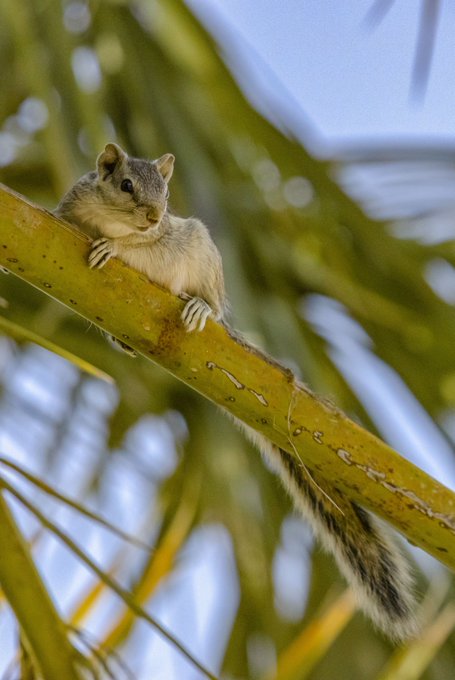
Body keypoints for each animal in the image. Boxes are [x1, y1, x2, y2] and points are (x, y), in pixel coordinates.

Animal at [55, 143, 418, 642]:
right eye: (126, 185)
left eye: (166, 192)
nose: (154, 215)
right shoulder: (69, 211)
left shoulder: (164, 237)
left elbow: (140, 247)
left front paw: (116, 246)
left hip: (204, 254)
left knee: (206, 296)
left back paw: (199, 308)